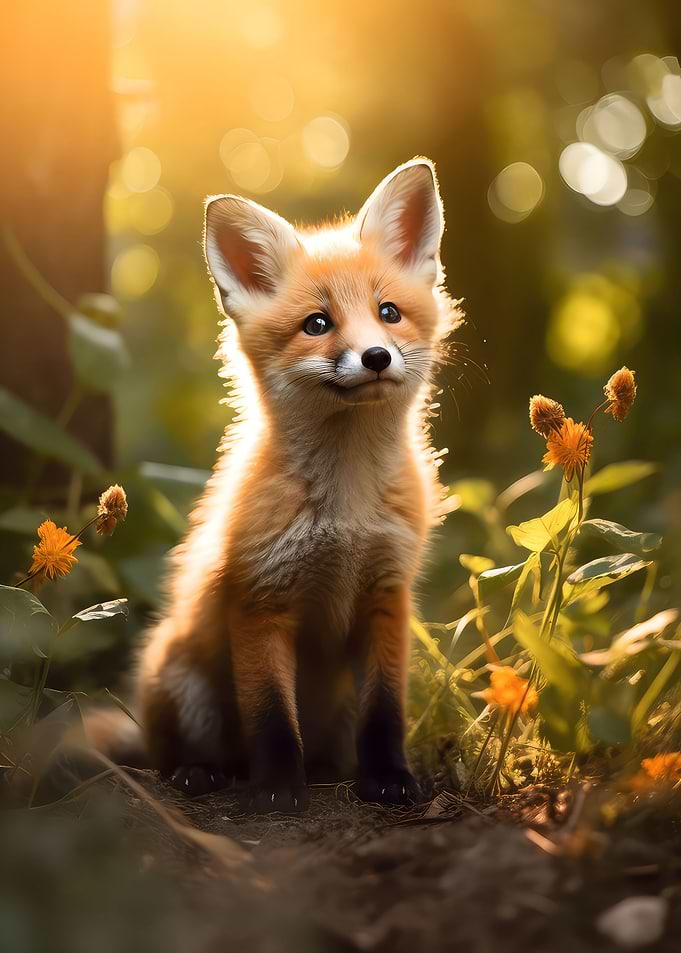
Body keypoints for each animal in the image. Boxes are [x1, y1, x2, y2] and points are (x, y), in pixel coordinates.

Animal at [87, 157, 461, 813]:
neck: (345, 509)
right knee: (176, 756)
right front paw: (280, 788)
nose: (376, 356)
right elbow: (270, 716)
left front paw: (389, 779)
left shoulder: (387, 596)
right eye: (318, 324)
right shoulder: (261, 602)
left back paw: (332, 770)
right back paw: (201, 772)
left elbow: (385, 712)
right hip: (183, 682)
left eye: (388, 312)